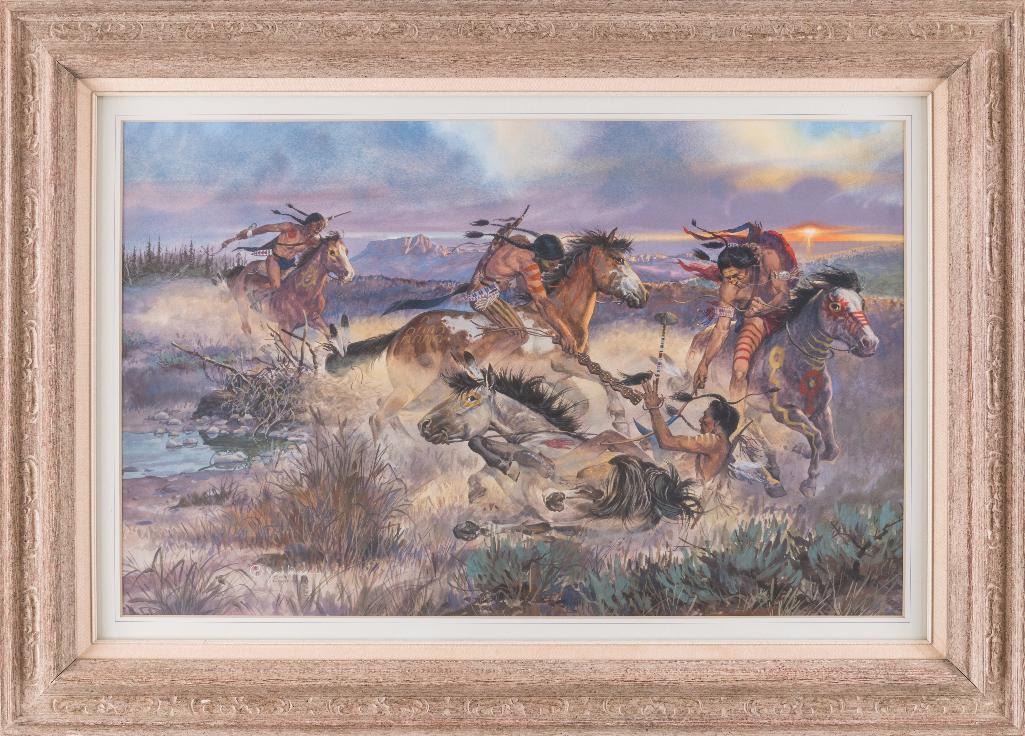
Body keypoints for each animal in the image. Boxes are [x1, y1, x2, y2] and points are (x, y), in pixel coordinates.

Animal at [226, 233, 355, 351]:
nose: (349, 274)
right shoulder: (285, 328)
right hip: (242, 307)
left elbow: (331, 336)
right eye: (331, 252)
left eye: (346, 251)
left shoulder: (315, 319)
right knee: (246, 328)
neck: (302, 292)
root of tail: (242, 272)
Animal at [329, 229, 649, 439]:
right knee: (379, 417)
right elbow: (606, 381)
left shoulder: (556, 376)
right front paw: (620, 422)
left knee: (388, 412)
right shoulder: (565, 363)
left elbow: (580, 404)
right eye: (618, 260)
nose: (643, 295)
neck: (559, 319)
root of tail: (401, 334)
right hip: (413, 387)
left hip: (426, 390)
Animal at [419, 352, 703, 535]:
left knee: (584, 491)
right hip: (591, 525)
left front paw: (511, 464)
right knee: (549, 523)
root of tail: (658, 490)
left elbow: (482, 443)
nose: (424, 424)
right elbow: (478, 466)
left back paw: (552, 494)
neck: (535, 434)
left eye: (471, 398)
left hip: (597, 464)